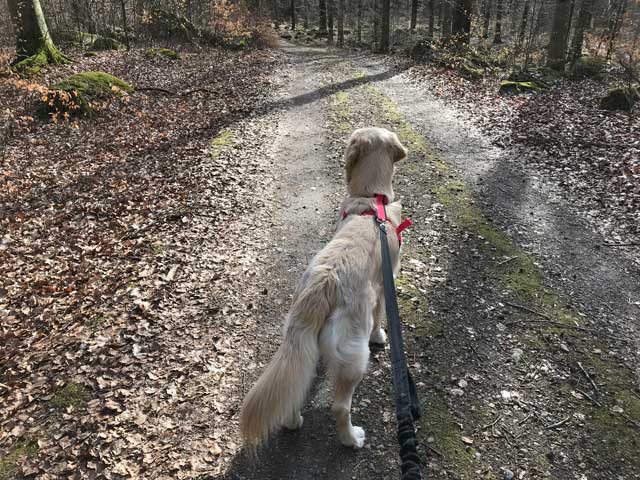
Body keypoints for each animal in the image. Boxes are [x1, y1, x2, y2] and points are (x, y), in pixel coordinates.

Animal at [238, 126, 408, 450]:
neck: (371, 201)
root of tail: (323, 284)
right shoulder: (385, 282)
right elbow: (381, 317)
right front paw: (380, 336)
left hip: (298, 338)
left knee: (296, 387)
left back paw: (292, 421)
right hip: (354, 356)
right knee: (340, 406)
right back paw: (351, 438)